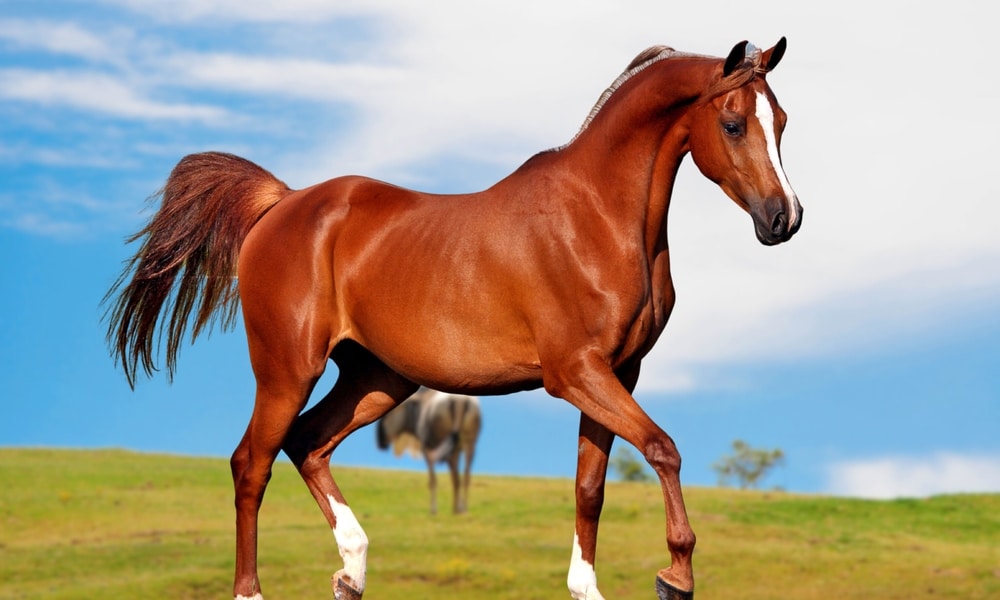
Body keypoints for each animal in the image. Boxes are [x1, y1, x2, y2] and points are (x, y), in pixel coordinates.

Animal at [101, 38, 800, 600]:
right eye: (733, 124)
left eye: (783, 122)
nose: (783, 219)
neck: (596, 216)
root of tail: (282, 204)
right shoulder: (575, 373)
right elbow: (663, 448)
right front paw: (676, 574)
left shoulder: (617, 374)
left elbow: (590, 487)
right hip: (287, 371)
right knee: (253, 462)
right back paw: (255, 589)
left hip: (378, 379)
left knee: (307, 443)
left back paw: (352, 570)